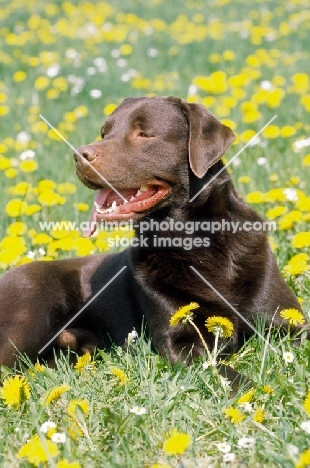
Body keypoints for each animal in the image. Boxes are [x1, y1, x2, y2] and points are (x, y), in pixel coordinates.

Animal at [0, 96, 304, 380]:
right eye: (104, 133)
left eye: (144, 134)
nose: (79, 155)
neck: (194, 242)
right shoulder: (180, 341)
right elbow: (226, 373)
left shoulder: (290, 323)